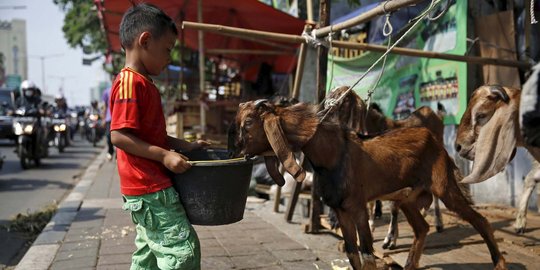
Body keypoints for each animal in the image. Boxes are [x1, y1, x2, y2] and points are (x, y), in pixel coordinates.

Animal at [235, 100, 506, 270]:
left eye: (248, 123)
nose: (237, 149)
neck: (333, 155)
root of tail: (436, 141)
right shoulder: (341, 210)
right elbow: (352, 253)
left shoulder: (358, 207)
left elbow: (367, 256)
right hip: (407, 198)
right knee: (422, 228)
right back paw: (410, 264)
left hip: (444, 187)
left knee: (479, 220)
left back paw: (499, 263)